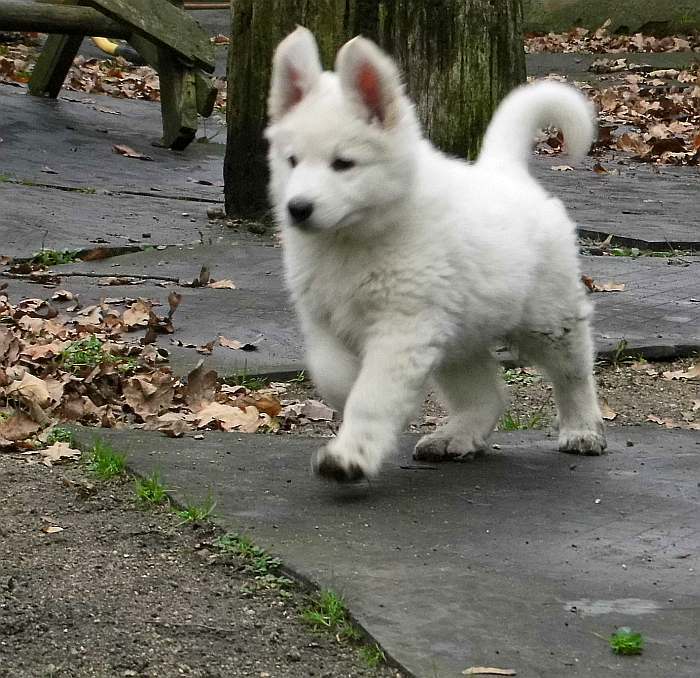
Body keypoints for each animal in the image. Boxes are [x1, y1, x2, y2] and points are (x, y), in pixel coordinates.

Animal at [266, 27, 604, 484]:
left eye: (343, 164)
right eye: (292, 161)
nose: (297, 208)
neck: (352, 240)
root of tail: (505, 172)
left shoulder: (403, 326)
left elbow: (372, 394)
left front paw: (352, 454)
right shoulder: (322, 319)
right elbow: (333, 374)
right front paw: (352, 398)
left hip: (548, 319)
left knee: (573, 373)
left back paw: (582, 428)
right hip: (459, 334)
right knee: (486, 394)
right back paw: (456, 437)